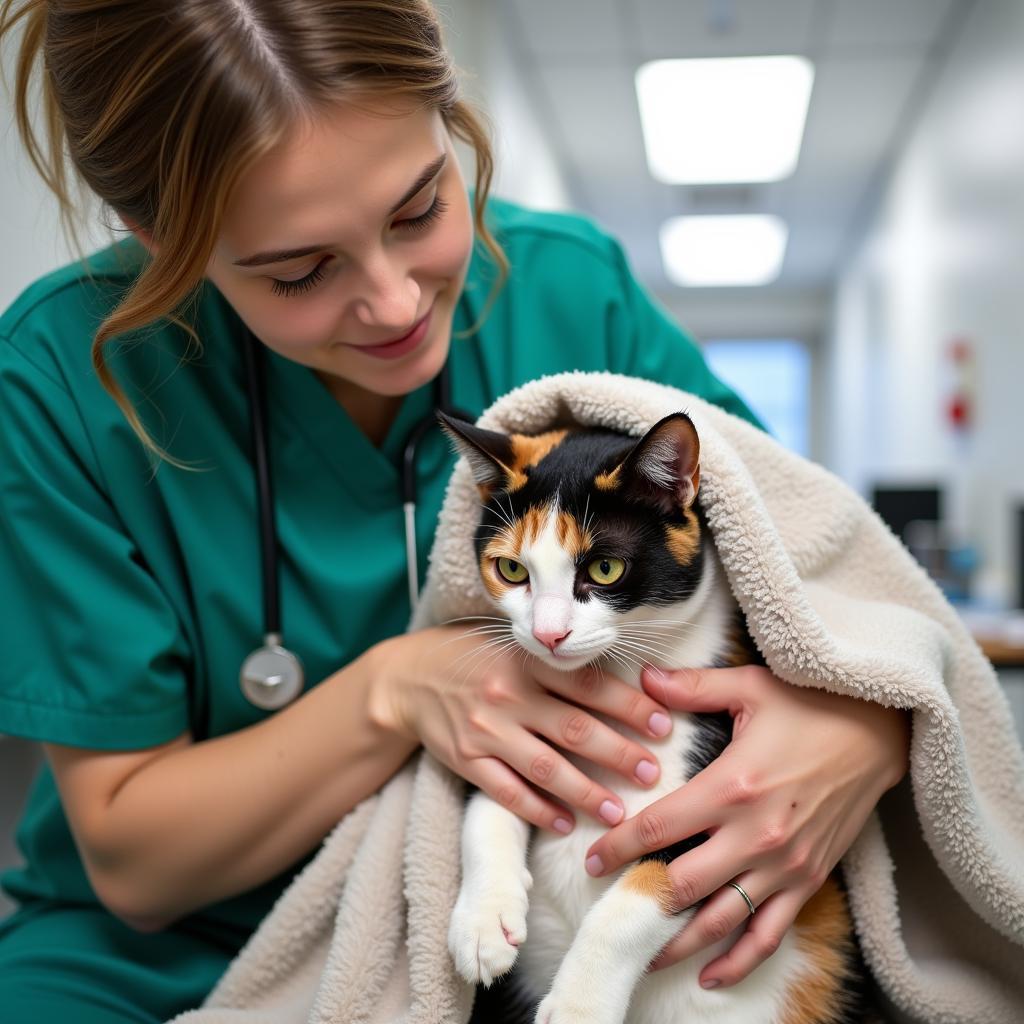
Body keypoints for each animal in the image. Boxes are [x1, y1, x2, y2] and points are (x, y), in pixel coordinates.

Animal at [440, 411, 864, 1024]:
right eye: (512, 569)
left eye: (605, 568)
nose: (548, 634)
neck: (615, 675)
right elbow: (491, 797)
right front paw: (481, 921)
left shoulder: (722, 815)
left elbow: (640, 896)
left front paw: (578, 1004)